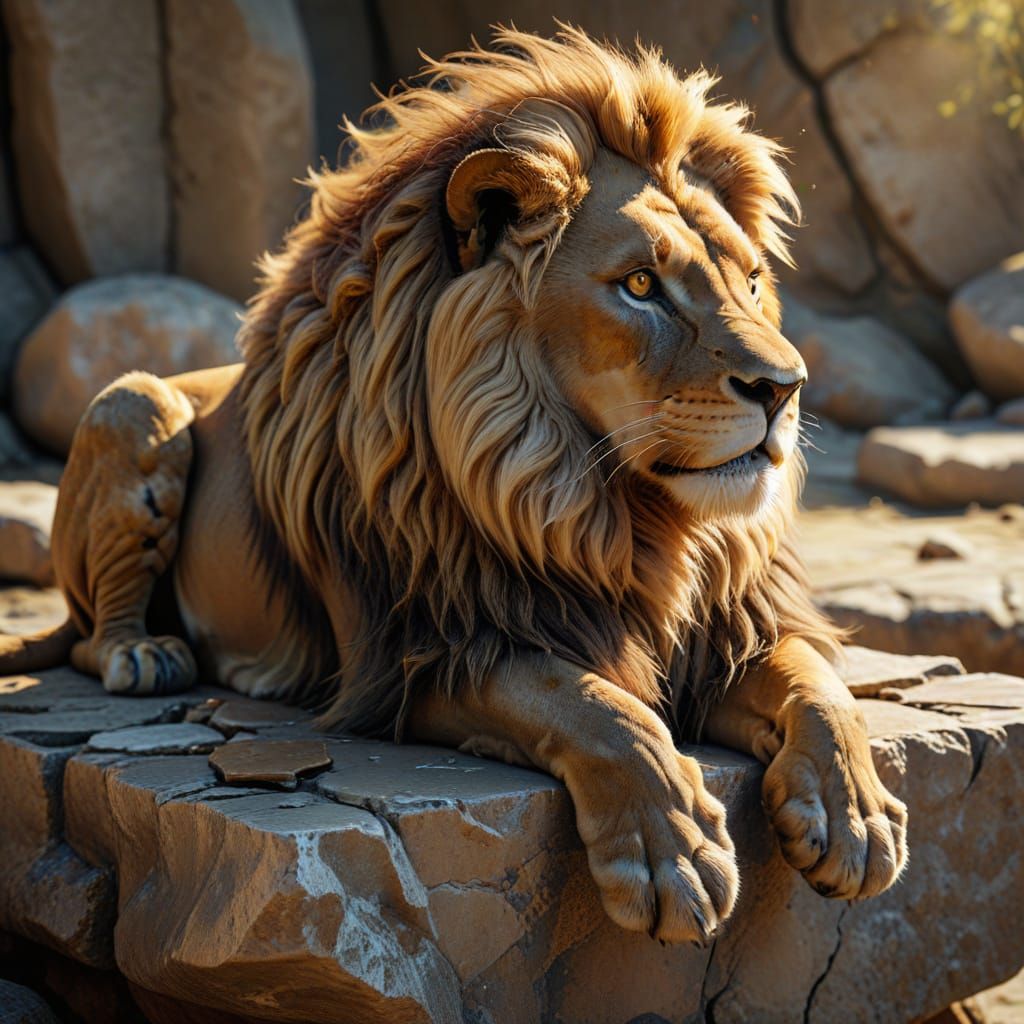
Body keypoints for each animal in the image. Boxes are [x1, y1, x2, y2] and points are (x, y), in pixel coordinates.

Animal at [1, 27, 907, 944]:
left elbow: (818, 685)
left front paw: (855, 815)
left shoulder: (731, 627)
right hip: (133, 403)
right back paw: (146, 653)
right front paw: (672, 854)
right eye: (641, 286)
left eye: (751, 281)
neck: (602, 509)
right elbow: (593, 704)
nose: (785, 388)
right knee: (87, 636)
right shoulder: (419, 653)